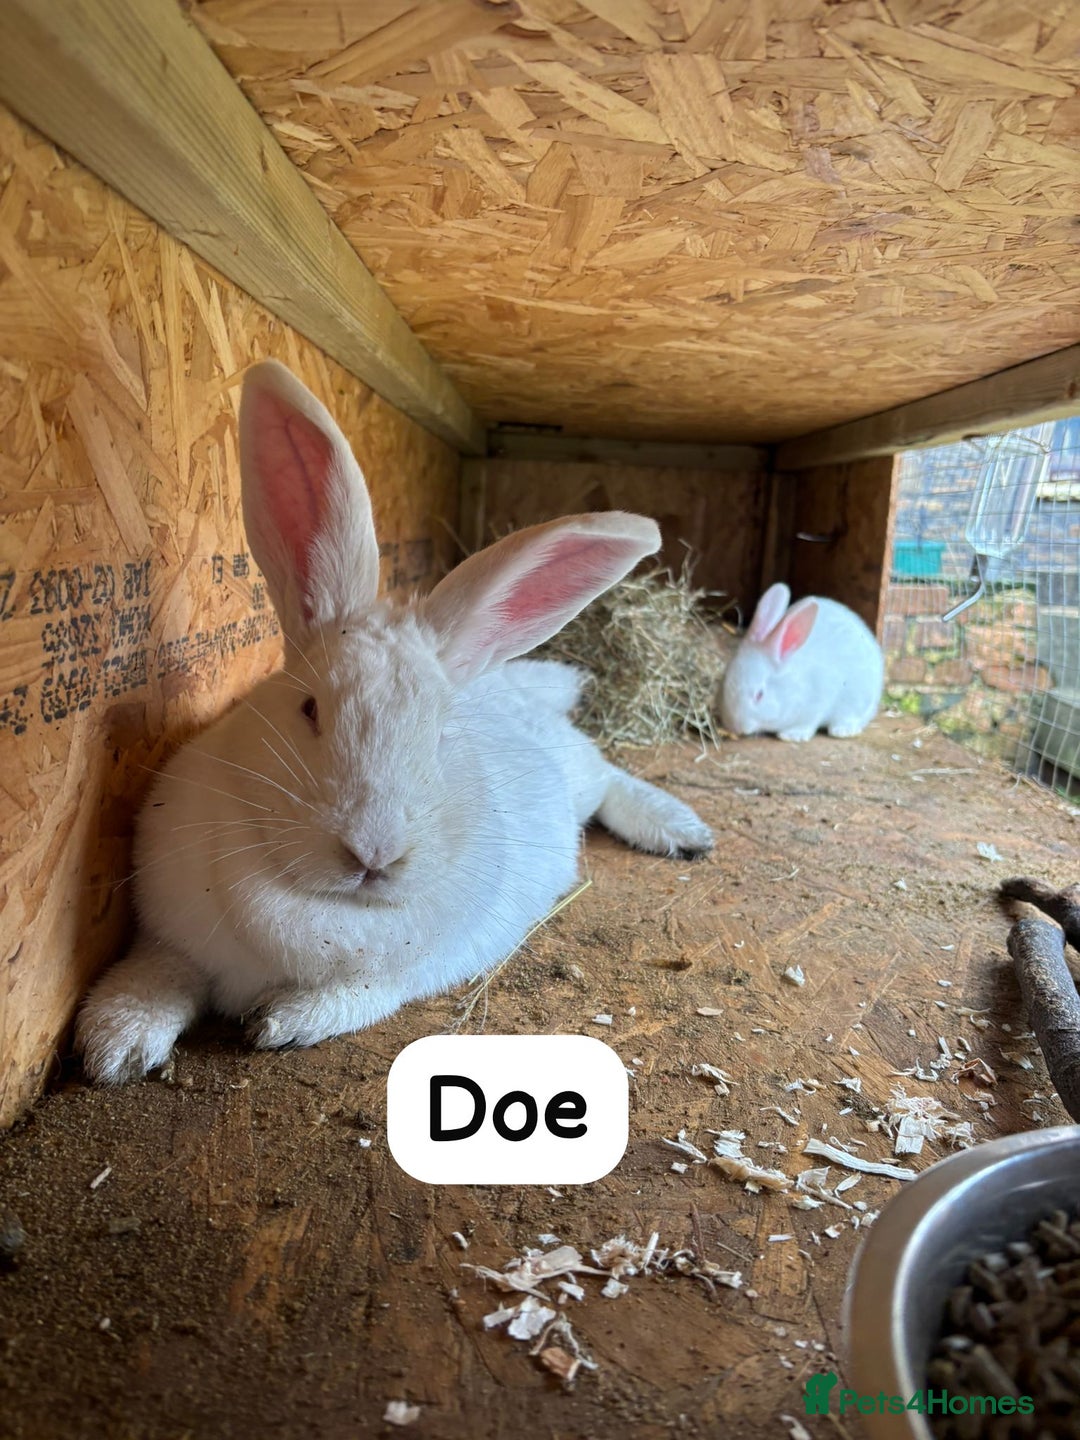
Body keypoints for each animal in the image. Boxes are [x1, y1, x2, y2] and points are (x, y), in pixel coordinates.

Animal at [76, 360, 713, 1084]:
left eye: (440, 734)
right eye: (309, 708)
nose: (373, 852)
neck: (326, 909)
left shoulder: (402, 975)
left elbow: (352, 997)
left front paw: (279, 1022)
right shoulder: (167, 937)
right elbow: (154, 977)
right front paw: (115, 1045)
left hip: (576, 775)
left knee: (607, 773)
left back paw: (679, 830)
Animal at [720, 582, 884, 742]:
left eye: (759, 695)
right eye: (725, 681)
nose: (734, 726)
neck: (792, 685)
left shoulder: (816, 704)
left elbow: (807, 723)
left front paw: (792, 735)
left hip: (858, 700)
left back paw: (842, 731)